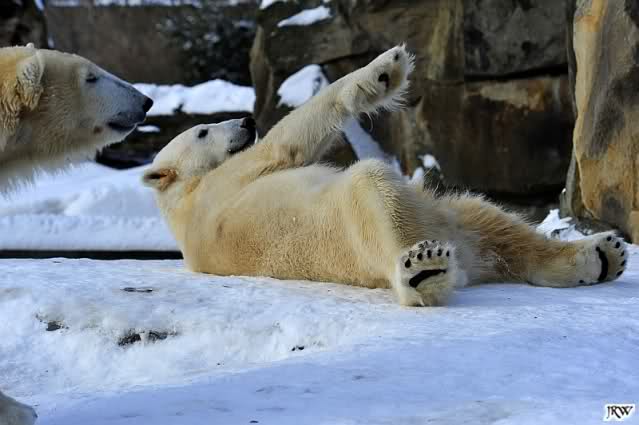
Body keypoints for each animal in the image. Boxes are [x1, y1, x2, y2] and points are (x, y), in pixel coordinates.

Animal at [143, 45, 627, 307]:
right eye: (203, 130)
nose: (245, 120)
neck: (184, 203)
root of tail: (466, 260)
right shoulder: (230, 179)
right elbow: (290, 139)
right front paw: (384, 71)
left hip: (450, 216)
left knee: (490, 218)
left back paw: (598, 255)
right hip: (349, 232)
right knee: (373, 187)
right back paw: (423, 273)